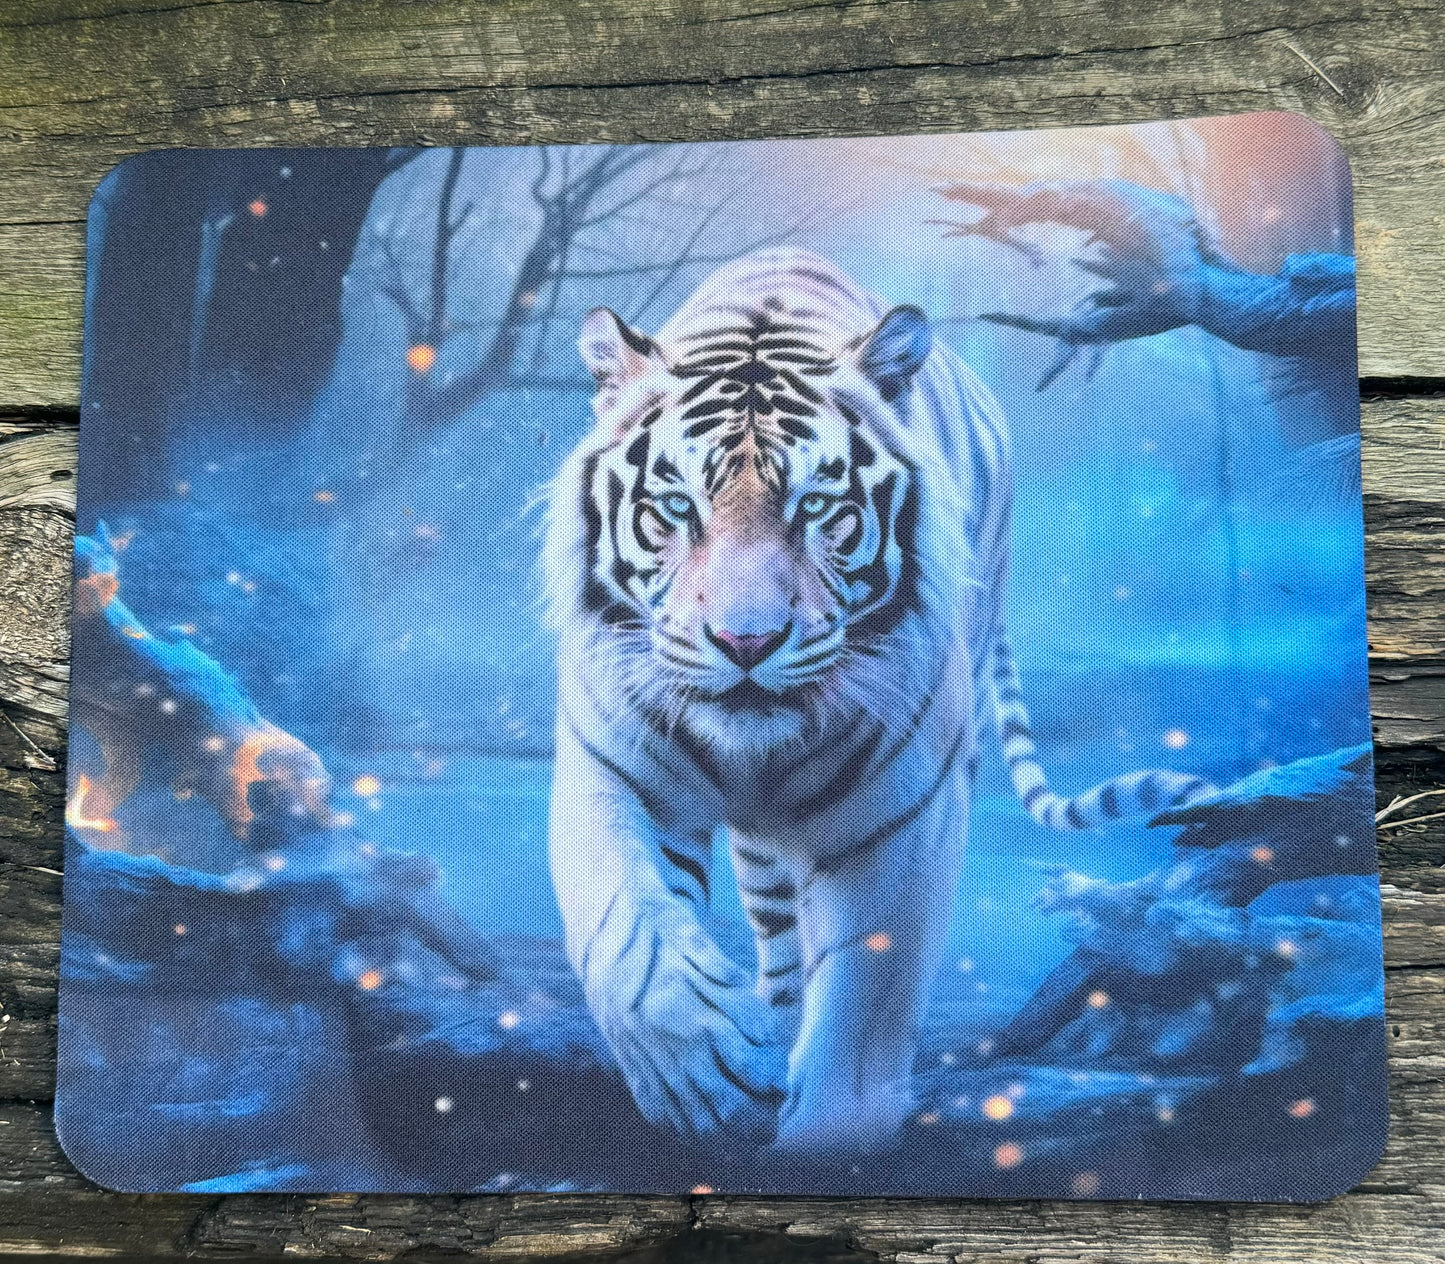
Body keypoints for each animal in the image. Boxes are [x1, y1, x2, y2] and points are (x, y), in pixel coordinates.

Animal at [542, 248, 1212, 1153]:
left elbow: (867, 990)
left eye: (816, 507)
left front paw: (829, 1139)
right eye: (677, 506)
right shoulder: (607, 766)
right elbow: (625, 927)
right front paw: (699, 1074)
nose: (745, 642)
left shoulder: (904, 808)